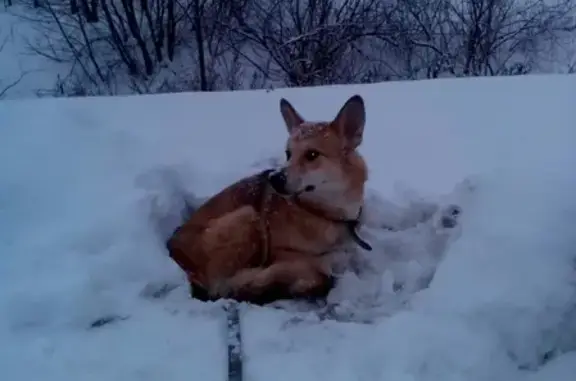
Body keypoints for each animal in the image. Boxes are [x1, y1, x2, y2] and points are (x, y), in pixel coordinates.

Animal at [166, 95, 374, 306]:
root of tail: (173, 247)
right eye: (288, 154)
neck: (324, 212)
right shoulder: (278, 250)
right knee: (225, 287)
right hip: (247, 216)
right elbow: (311, 265)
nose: (274, 178)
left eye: (312, 154)